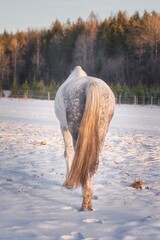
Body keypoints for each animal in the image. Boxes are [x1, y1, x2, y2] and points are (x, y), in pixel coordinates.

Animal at [54, 65, 114, 210]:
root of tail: (91, 84)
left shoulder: (63, 127)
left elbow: (67, 153)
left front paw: (67, 183)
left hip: (76, 132)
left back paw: (84, 202)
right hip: (102, 132)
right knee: (93, 164)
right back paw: (88, 200)